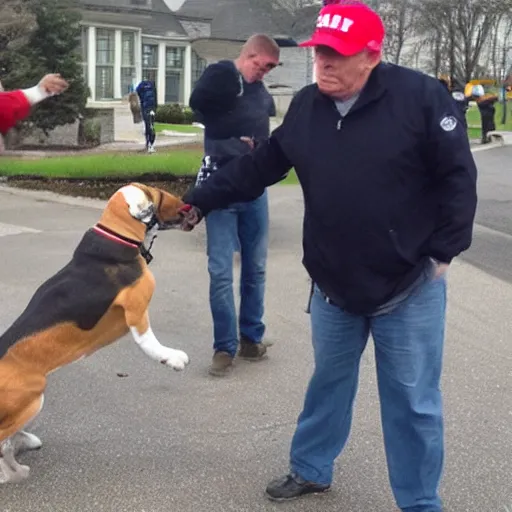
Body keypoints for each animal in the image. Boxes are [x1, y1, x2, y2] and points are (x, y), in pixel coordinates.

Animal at [0, 183, 190, 484]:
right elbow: (150, 343)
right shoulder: (137, 313)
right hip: (33, 398)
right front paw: (172, 358)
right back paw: (15, 471)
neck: (118, 234)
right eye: (158, 193)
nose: (186, 203)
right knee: (2, 446)